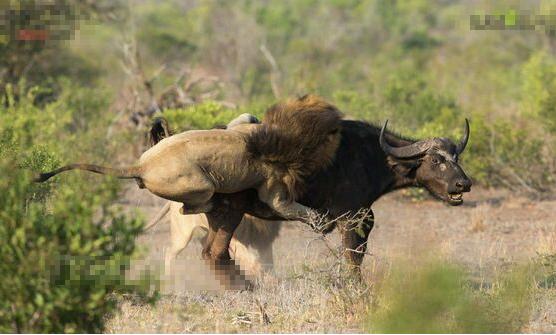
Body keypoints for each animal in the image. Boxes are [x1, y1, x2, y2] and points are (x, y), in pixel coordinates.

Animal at [35, 95, 344, 223]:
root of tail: (142, 165)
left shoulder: (244, 124)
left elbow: (243, 117)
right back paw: (213, 204)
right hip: (198, 183)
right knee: (189, 207)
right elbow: (285, 206)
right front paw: (320, 220)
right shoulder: (273, 185)